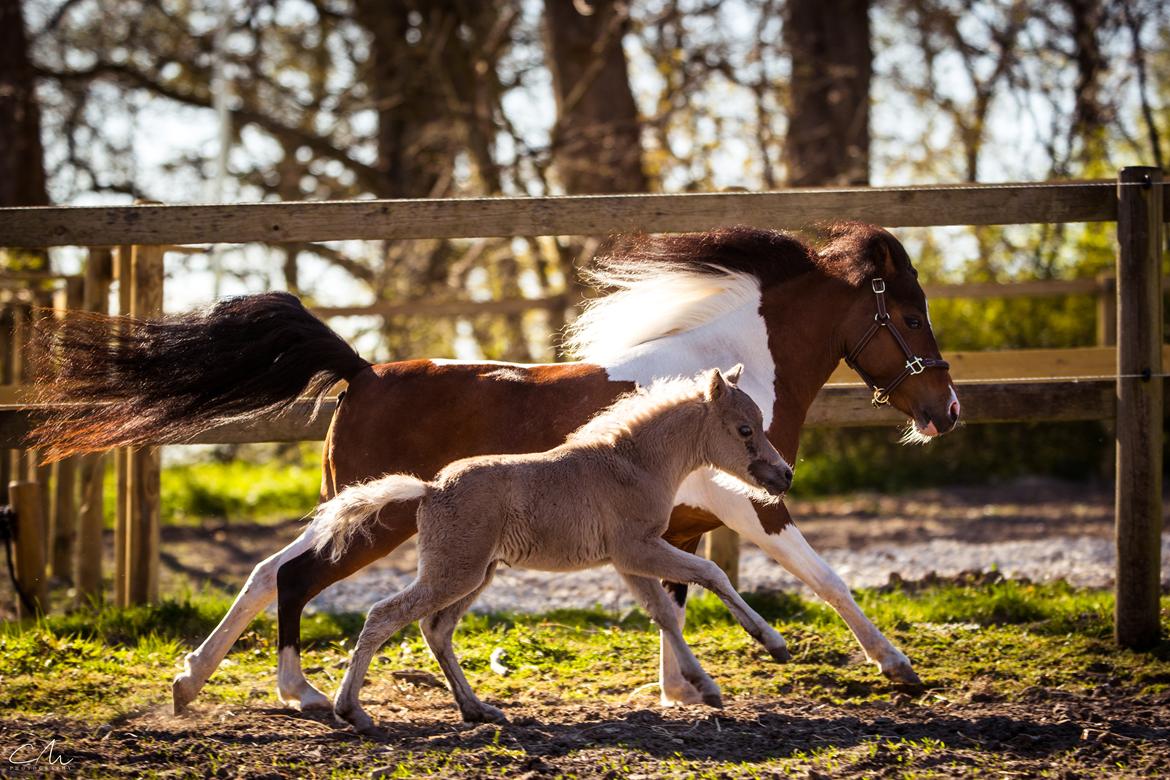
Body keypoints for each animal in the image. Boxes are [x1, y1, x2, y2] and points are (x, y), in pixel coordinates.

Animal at [313, 367, 795, 734]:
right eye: (745, 429)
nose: (785, 475)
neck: (634, 463)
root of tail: (430, 488)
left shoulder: (628, 561)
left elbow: (663, 614)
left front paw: (703, 685)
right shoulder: (638, 549)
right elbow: (710, 573)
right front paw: (770, 646)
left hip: (478, 572)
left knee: (436, 628)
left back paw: (476, 709)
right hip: (454, 571)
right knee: (384, 616)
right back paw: (352, 711)